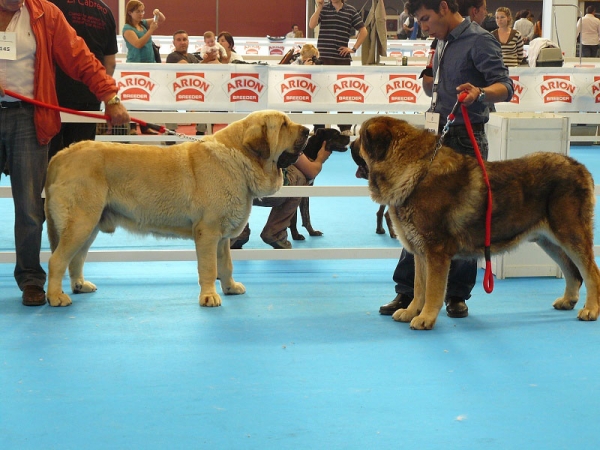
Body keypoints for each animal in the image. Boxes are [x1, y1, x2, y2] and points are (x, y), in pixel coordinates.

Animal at [45, 110, 310, 306]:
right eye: (284, 125)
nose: (308, 130)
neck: (239, 159)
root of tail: (62, 155)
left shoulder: (223, 236)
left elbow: (226, 264)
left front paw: (230, 288)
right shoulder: (208, 233)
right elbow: (209, 266)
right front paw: (209, 296)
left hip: (89, 225)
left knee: (76, 259)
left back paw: (80, 285)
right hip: (80, 223)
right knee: (57, 260)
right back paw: (56, 297)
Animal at [354, 114, 596, 328]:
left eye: (360, 138)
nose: (350, 144)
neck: (415, 171)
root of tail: (579, 166)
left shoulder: (435, 252)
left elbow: (432, 289)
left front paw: (425, 318)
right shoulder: (420, 253)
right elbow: (419, 286)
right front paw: (411, 311)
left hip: (571, 233)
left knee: (591, 271)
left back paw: (591, 309)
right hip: (548, 240)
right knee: (572, 271)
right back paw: (568, 300)